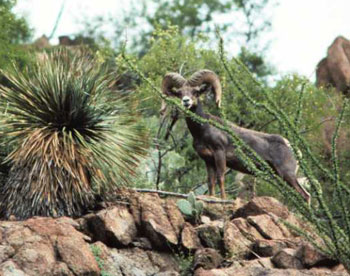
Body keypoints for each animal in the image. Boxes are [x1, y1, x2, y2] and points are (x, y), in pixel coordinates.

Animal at [161, 70, 308, 202]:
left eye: (196, 92)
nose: (186, 101)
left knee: (305, 196)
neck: (203, 130)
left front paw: (223, 199)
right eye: (179, 93)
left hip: (287, 175)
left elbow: (220, 178)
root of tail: (293, 149)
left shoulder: (219, 154)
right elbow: (210, 181)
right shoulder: (208, 161)